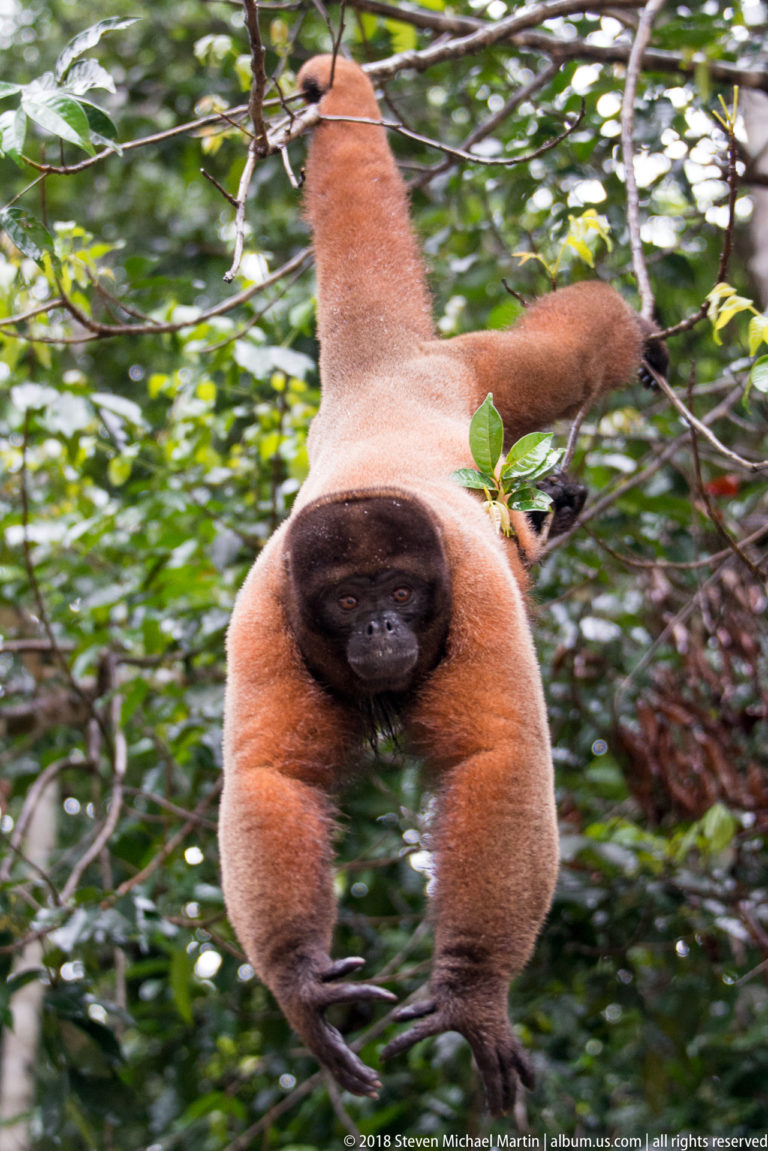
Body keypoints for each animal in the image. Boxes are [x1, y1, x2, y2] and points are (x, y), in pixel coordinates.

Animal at [219, 54, 666, 1116]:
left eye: (397, 590)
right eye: (346, 600)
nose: (380, 630)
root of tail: (378, 376)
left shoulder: (472, 598)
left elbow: (497, 758)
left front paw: (470, 992)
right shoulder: (264, 620)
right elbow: (271, 775)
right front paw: (300, 984)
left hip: (477, 372)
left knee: (570, 356)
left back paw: (632, 339)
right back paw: (554, 518)